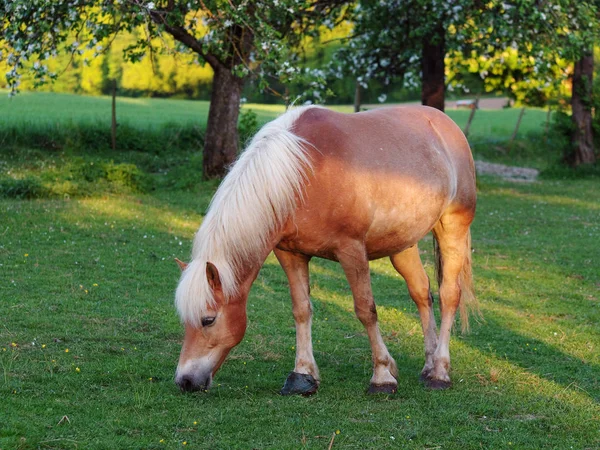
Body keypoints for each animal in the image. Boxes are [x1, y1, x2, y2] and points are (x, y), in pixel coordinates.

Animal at [173, 104, 478, 394]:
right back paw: (428, 364)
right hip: (402, 244)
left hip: (452, 227)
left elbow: (366, 310)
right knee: (421, 292)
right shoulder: (290, 253)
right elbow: (301, 310)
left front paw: (381, 376)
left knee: (449, 295)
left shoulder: (351, 250)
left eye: (208, 320)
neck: (303, 172)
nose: (184, 381)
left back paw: (439, 371)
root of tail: (445, 125)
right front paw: (302, 375)